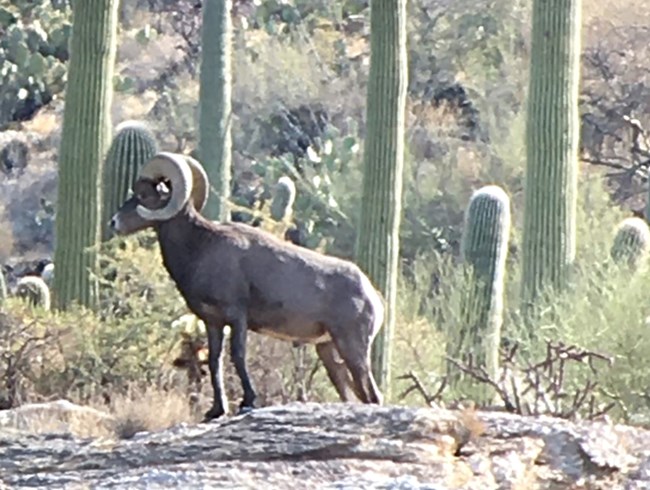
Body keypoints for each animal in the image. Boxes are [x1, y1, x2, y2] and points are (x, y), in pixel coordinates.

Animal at [110, 151, 384, 420]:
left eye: (144, 195)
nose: (114, 222)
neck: (200, 247)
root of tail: (373, 297)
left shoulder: (236, 316)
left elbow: (238, 356)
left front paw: (248, 401)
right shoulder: (213, 322)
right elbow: (215, 361)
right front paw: (216, 410)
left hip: (352, 349)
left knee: (373, 395)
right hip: (329, 353)